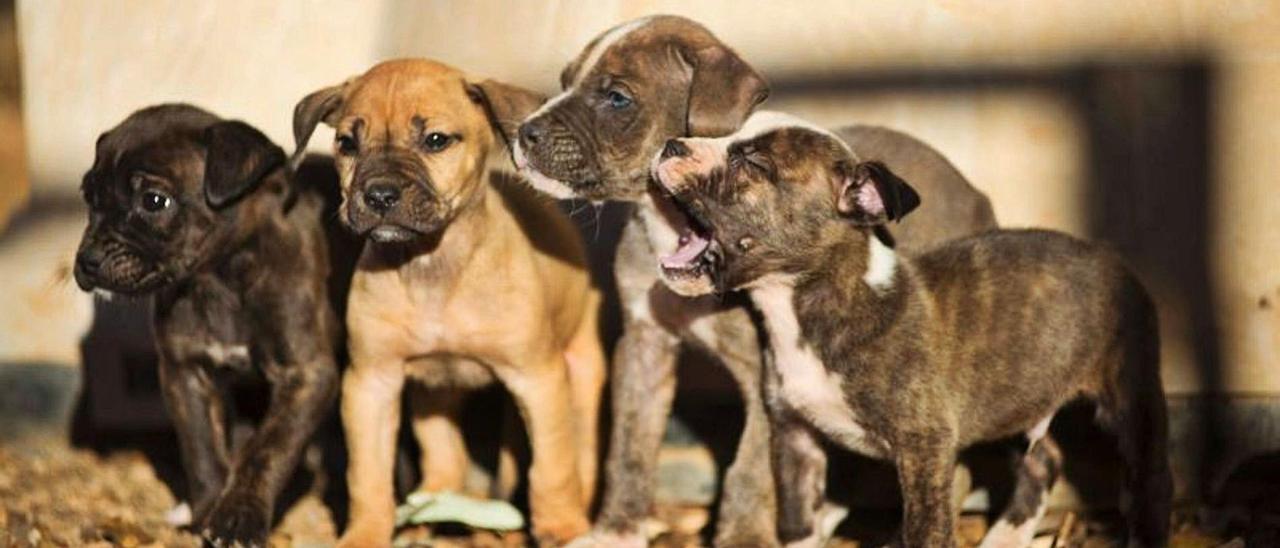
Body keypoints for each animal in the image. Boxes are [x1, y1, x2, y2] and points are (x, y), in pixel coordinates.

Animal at [73, 104, 345, 545]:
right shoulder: (187, 371)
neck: (219, 278)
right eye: (88, 197)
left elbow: (267, 451)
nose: (87, 260)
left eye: (154, 201)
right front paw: (208, 509)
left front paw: (238, 518)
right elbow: (201, 449)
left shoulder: (306, 375)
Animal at [294, 57, 604, 545]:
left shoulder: (538, 379)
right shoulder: (371, 384)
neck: (432, 266)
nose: (378, 195)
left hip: (582, 369)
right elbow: (368, 474)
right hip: (434, 391)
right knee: (445, 456)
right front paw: (366, 533)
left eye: (435, 140)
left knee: (581, 451)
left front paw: (560, 525)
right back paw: (432, 508)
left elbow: (553, 465)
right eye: (347, 143)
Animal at [509, 14, 998, 545]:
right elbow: (629, 445)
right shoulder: (644, 346)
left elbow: (750, 470)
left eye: (617, 97)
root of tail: (975, 191)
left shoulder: (768, 376)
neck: (673, 223)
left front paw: (742, 535)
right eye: (564, 82)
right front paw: (618, 529)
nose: (523, 133)